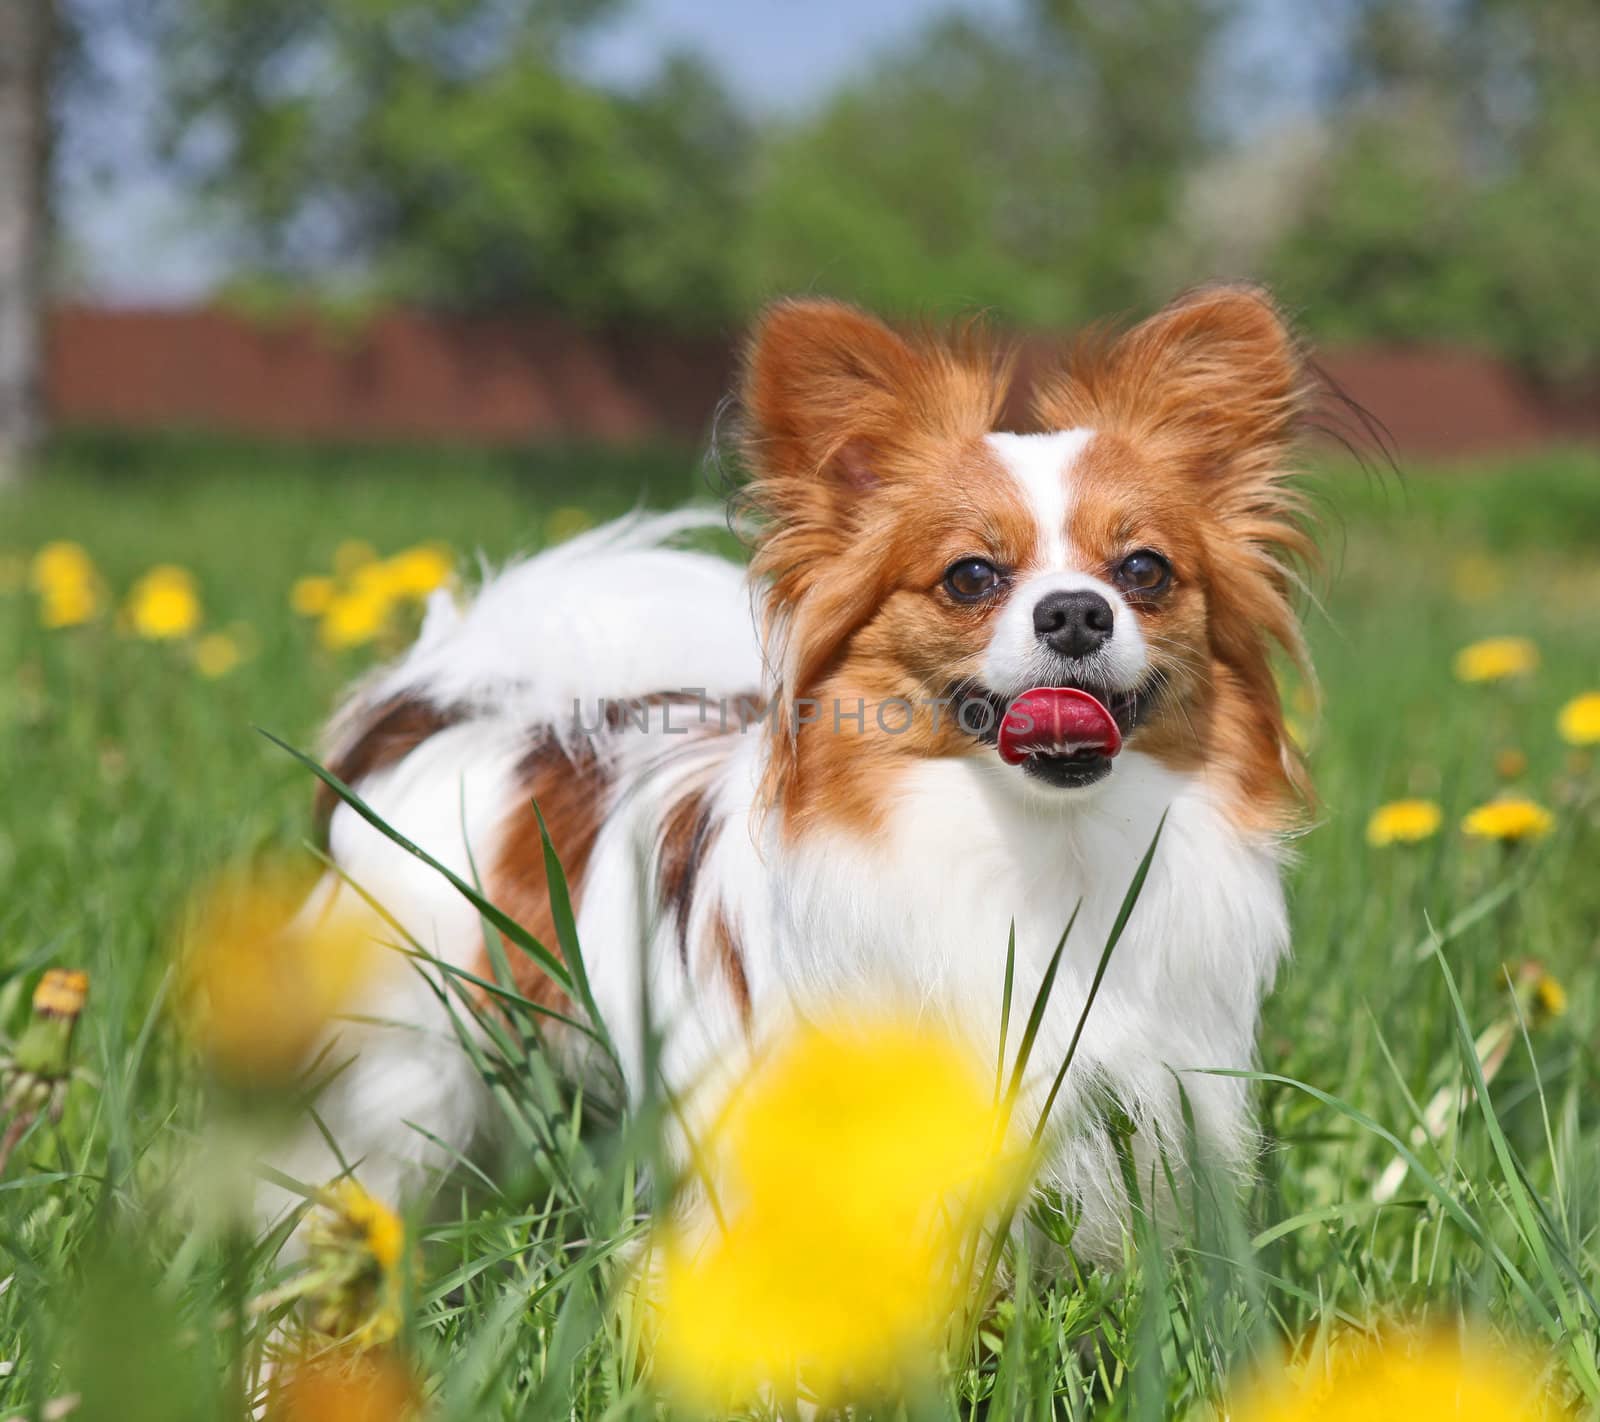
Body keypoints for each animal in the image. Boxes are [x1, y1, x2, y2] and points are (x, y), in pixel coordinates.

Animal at [275, 283, 1318, 1260]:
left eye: (1143, 570)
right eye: (971, 577)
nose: (1075, 613)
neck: (1040, 847)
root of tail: (452, 709)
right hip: (401, 1068)